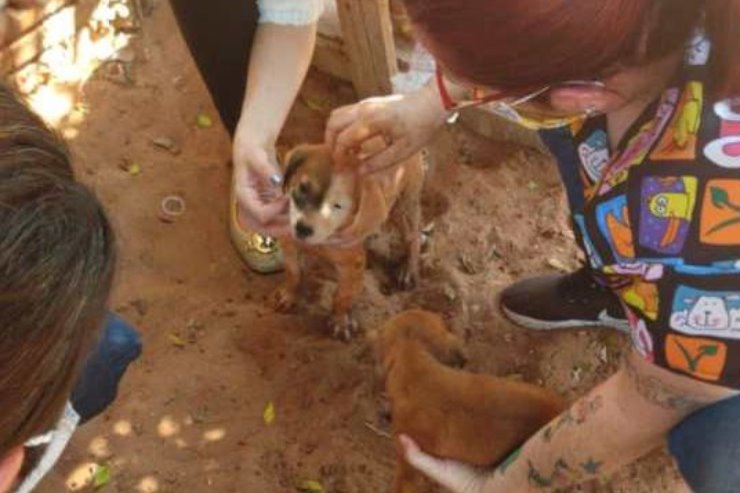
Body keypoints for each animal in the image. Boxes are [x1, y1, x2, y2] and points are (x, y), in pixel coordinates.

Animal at [272, 143, 424, 338]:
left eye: (337, 206)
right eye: (302, 188)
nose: (302, 229)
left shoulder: (352, 264)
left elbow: (343, 295)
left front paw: (340, 320)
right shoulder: (289, 244)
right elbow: (294, 273)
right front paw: (289, 295)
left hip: (405, 205)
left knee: (414, 237)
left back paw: (408, 270)